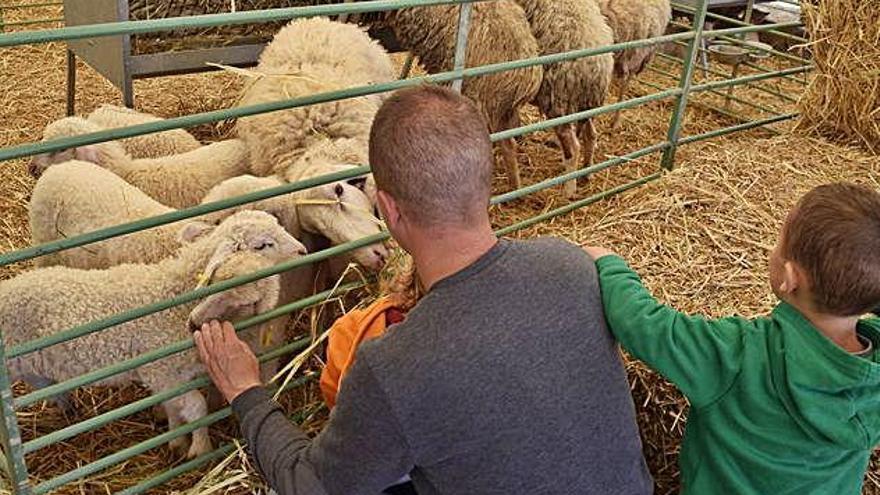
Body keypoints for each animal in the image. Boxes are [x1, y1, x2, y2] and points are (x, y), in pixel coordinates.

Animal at [0, 211, 302, 460]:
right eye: (263, 244)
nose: (303, 250)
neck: (175, 297)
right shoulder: (162, 372)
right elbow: (197, 408)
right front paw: (200, 449)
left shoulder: (168, 378)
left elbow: (173, 409)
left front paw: (176, 441)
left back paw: (67, 408)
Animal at [516, 0, 612, 198]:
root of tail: (598, 67)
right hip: (586, 105)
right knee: (591, 135)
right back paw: (586, 174)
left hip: (560, 102)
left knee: (573, 148)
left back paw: (568, 191)